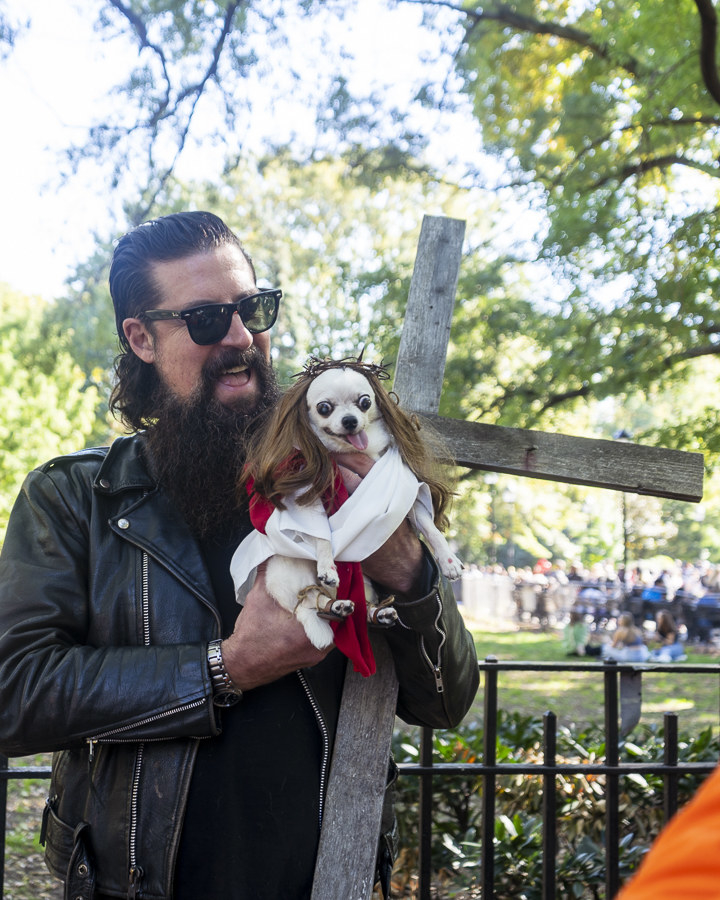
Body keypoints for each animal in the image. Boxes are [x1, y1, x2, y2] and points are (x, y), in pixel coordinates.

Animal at [233, 358, 464, 652]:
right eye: (324, 408)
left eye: (365, 402)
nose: (350, 420)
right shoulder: (312, 503)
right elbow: (323, 537)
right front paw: (327, 567)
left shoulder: (409, 499)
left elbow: (431, 529)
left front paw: (448, 560)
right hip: (290, 573)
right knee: (310, 603)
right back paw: (335, 603)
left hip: (364, 584)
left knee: (359, 610)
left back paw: (374, 611)